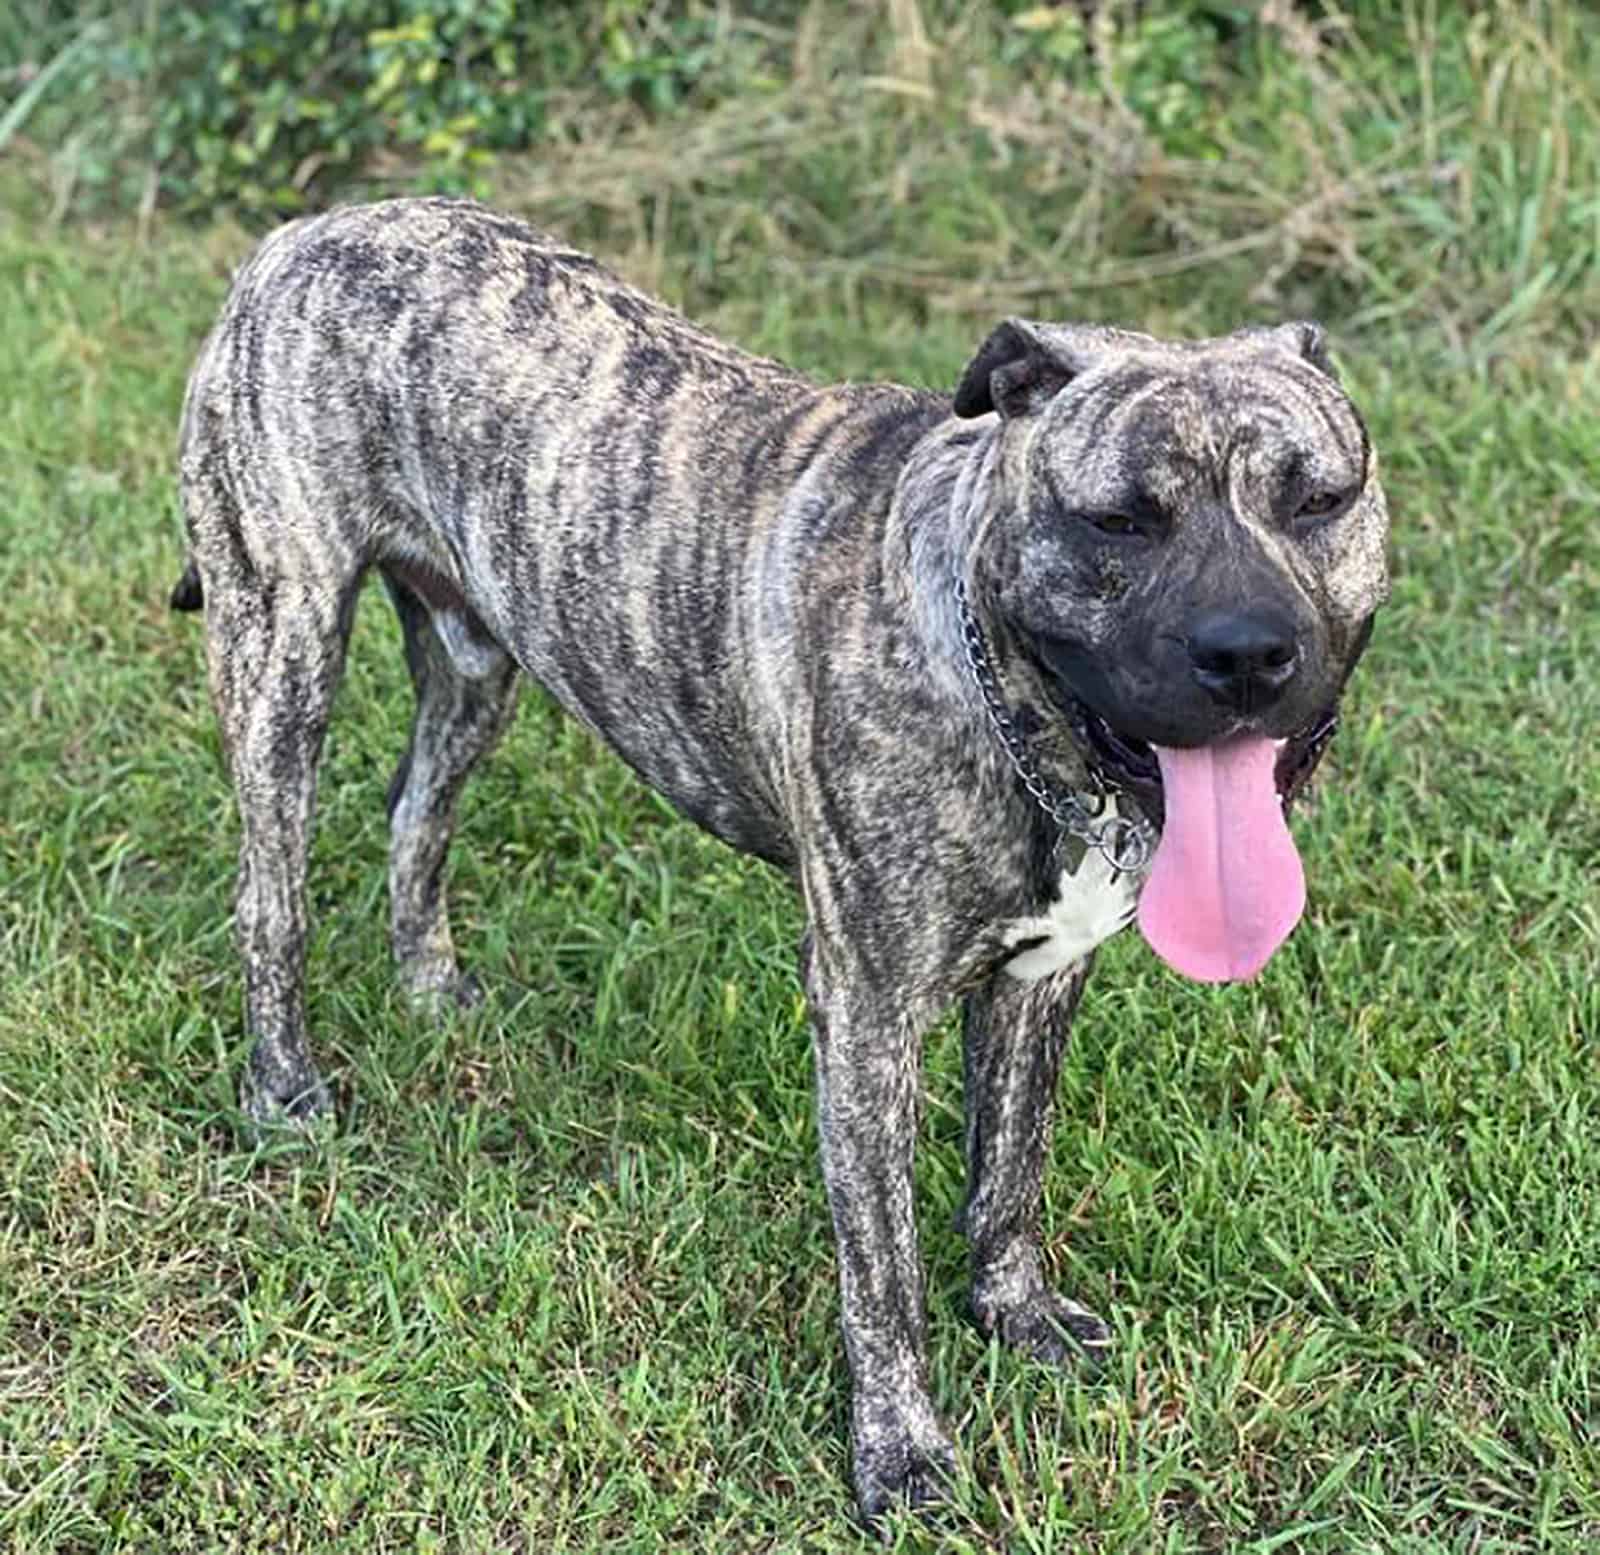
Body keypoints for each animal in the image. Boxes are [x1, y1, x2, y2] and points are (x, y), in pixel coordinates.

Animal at [172, 197, 1388, 1516]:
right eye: (1118, 519)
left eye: (1317, 500)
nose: (1247, 652)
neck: (996, 684)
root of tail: (306, 229)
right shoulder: (866, 1016)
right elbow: (882, 1266)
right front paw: (900, 1450)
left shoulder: (1037, 981)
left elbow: (1009, 1172)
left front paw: (1014, 1313)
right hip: (282, 649)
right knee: (271, 897)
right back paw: (285, 1091)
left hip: (474, 663)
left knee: (414, 814)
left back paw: (431, 987)